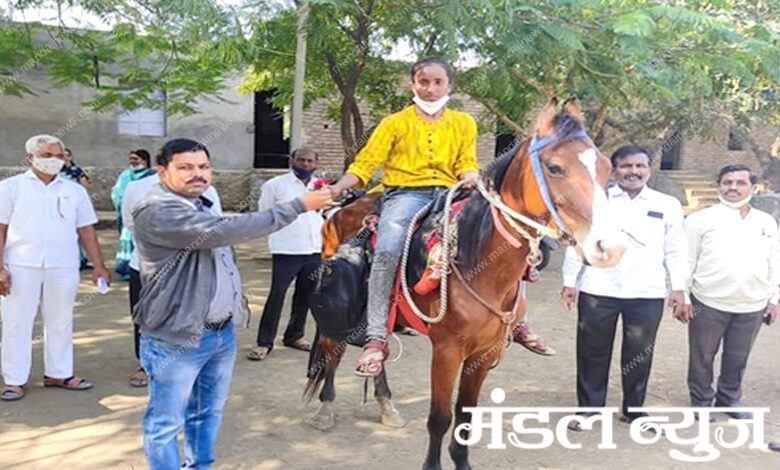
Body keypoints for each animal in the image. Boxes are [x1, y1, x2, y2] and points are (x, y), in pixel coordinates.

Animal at [302, 97, 624, 468]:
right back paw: (326, 407)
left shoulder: (484, 354)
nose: (610, 247)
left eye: (606, 168)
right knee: (332, 349)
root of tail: (341, 211)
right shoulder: (447, 351)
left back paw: (387, 404)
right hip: (338, 315)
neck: (477, 260)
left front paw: (463, 460)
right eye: (556, 168)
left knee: (375, 347)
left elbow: (465, 416)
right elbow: (440, 418)